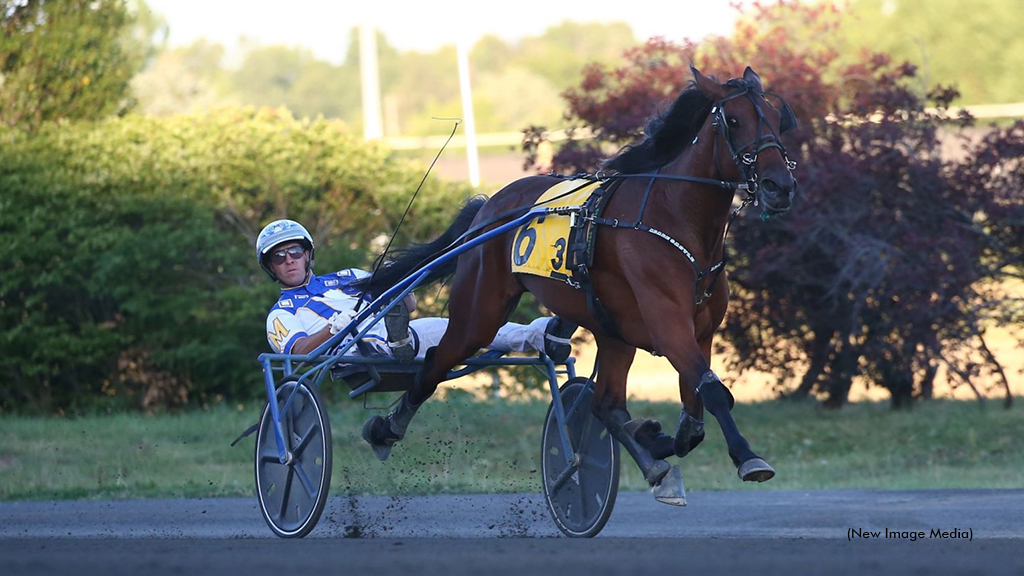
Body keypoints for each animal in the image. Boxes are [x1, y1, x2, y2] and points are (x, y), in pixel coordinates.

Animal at [360, 68, 798, 483]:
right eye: (734, 121)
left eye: (777, 118)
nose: (779, 186)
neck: (676, 218)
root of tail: (490, 207)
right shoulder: (668, 324)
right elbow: (714, 393)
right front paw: (747, 457)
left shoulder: (701, 331)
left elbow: (693, 422)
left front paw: (653, 436)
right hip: (479, 311)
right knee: (438, 359)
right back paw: (385, 429)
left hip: (613, 331)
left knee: (606, 404)